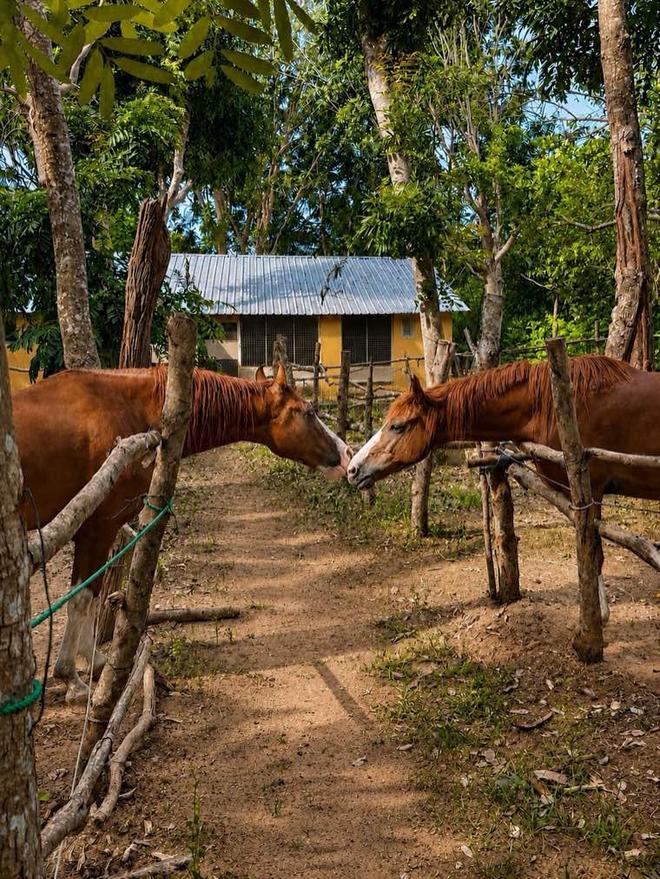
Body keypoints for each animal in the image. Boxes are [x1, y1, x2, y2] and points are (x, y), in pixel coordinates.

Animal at [14, 362, 351, 702]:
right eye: (308, 412)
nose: (348, 454)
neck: (125, 408)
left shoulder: (97, 532)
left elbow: (92, 595)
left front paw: (93, 661)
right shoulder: (96, 529)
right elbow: (81, 598)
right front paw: (70, 677)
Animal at [347, 355, 660, 619]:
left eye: (398, 426)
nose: (353, 469)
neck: (553, 405)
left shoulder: (590, 492)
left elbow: (594, 554)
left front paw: (596, 622)